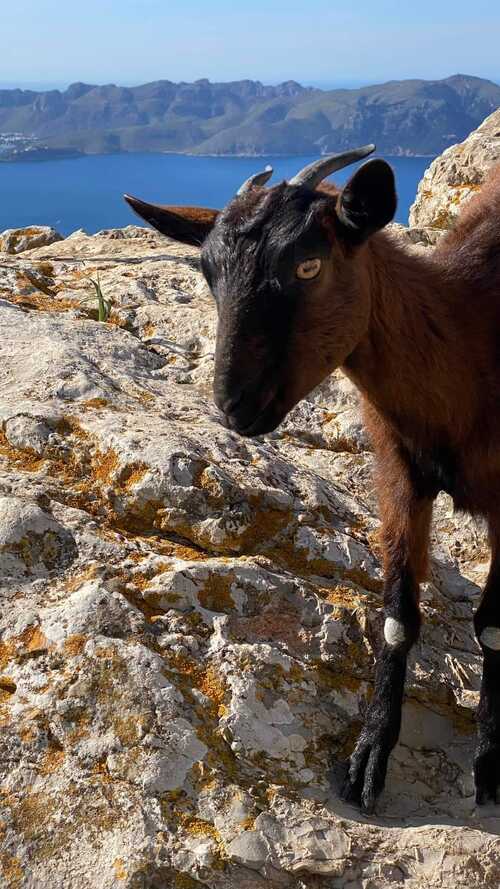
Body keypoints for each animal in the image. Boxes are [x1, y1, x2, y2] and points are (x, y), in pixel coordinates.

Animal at [125, 147, 500, 820]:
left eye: (308, 265)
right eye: (210, 274)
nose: (234, 406)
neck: (469, 339)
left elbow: (493, 628)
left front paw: (490, 763)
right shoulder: (397, 473)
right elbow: (398, 617)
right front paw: (368, 757)